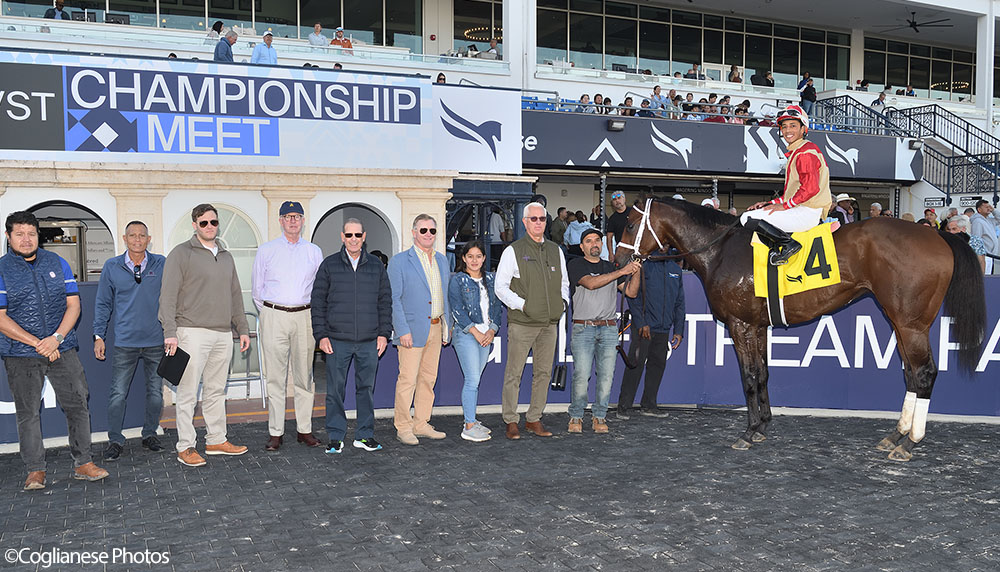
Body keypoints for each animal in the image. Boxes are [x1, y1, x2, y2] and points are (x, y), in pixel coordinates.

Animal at [612, 199, 988, 462]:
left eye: (629, 224)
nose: (618, 264)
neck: (721, 249)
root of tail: (936, 232)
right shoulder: (758, 326)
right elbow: (763, 373)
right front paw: (763, 425)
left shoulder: (740, 325)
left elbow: (749, 377)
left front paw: (749, 431)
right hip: (900, 323)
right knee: (910, 373)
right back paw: (896, 435)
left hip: (911, 324)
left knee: (924, 373)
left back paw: (909, 442)